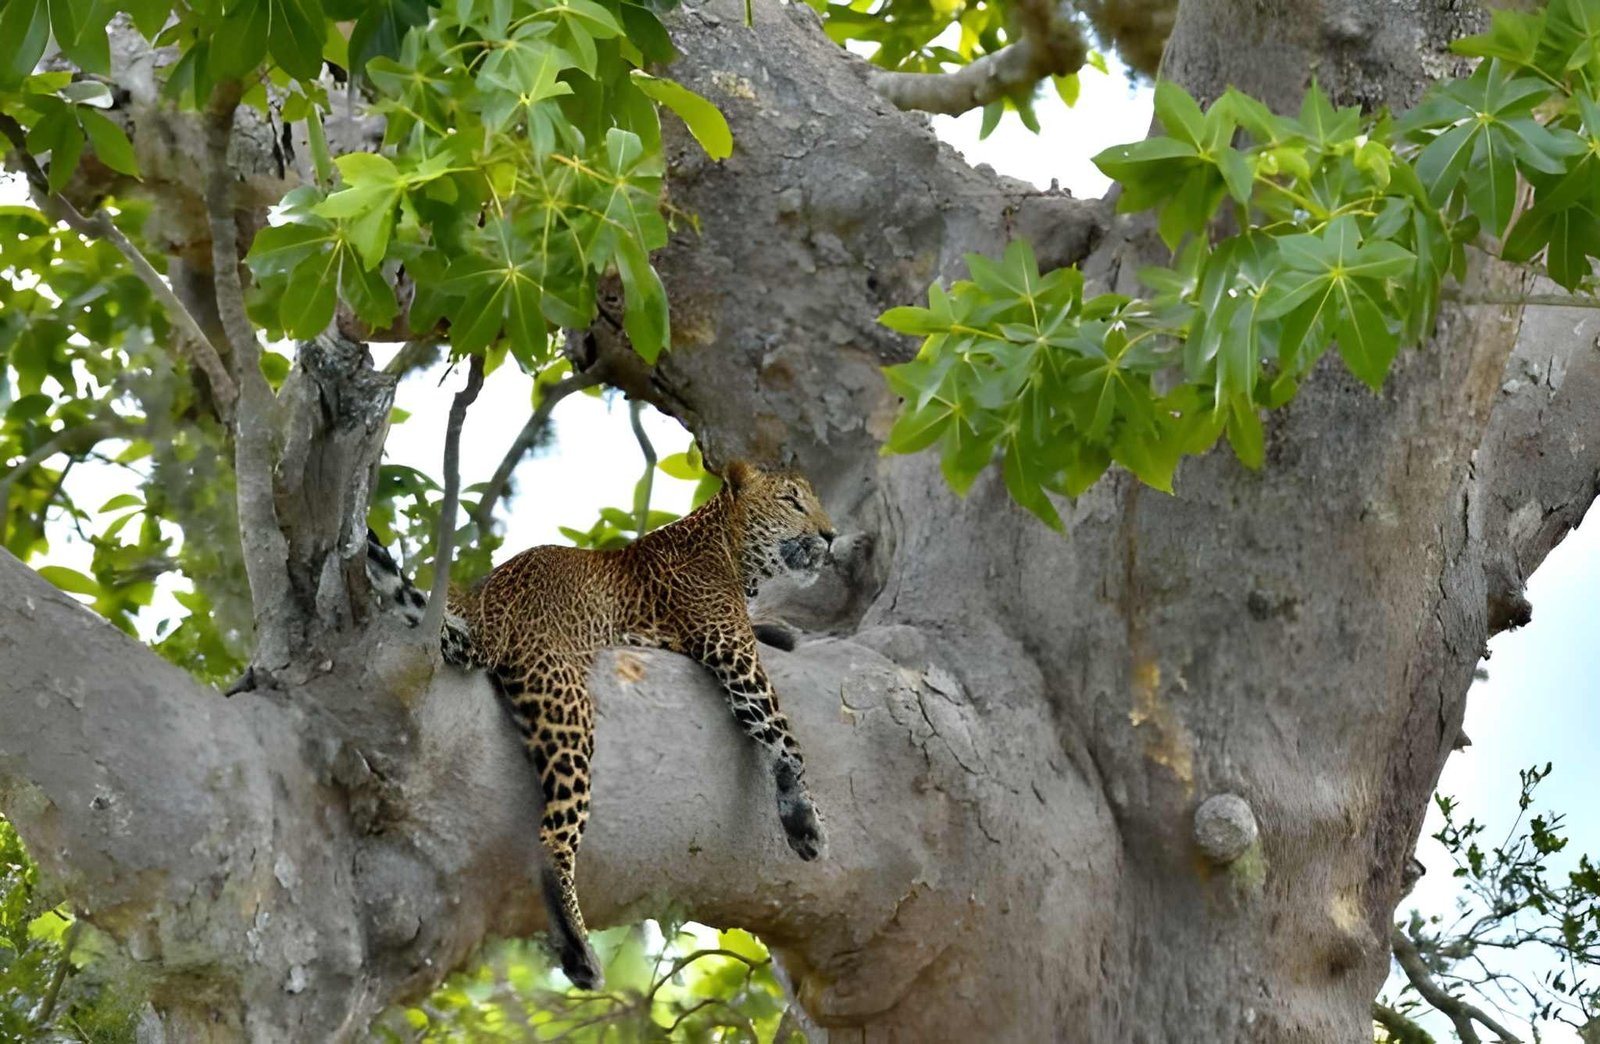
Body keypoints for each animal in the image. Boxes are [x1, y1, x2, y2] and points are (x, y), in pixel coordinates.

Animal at [365, 461, 835, 989]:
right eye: (792, 502)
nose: (831, 535)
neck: (728, 546)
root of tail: (493, 610)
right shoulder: (730, 648)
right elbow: (783, 734)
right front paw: (805, 821)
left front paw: (783, 632)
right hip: (568, 704)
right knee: (553, 835)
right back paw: (579, 950)